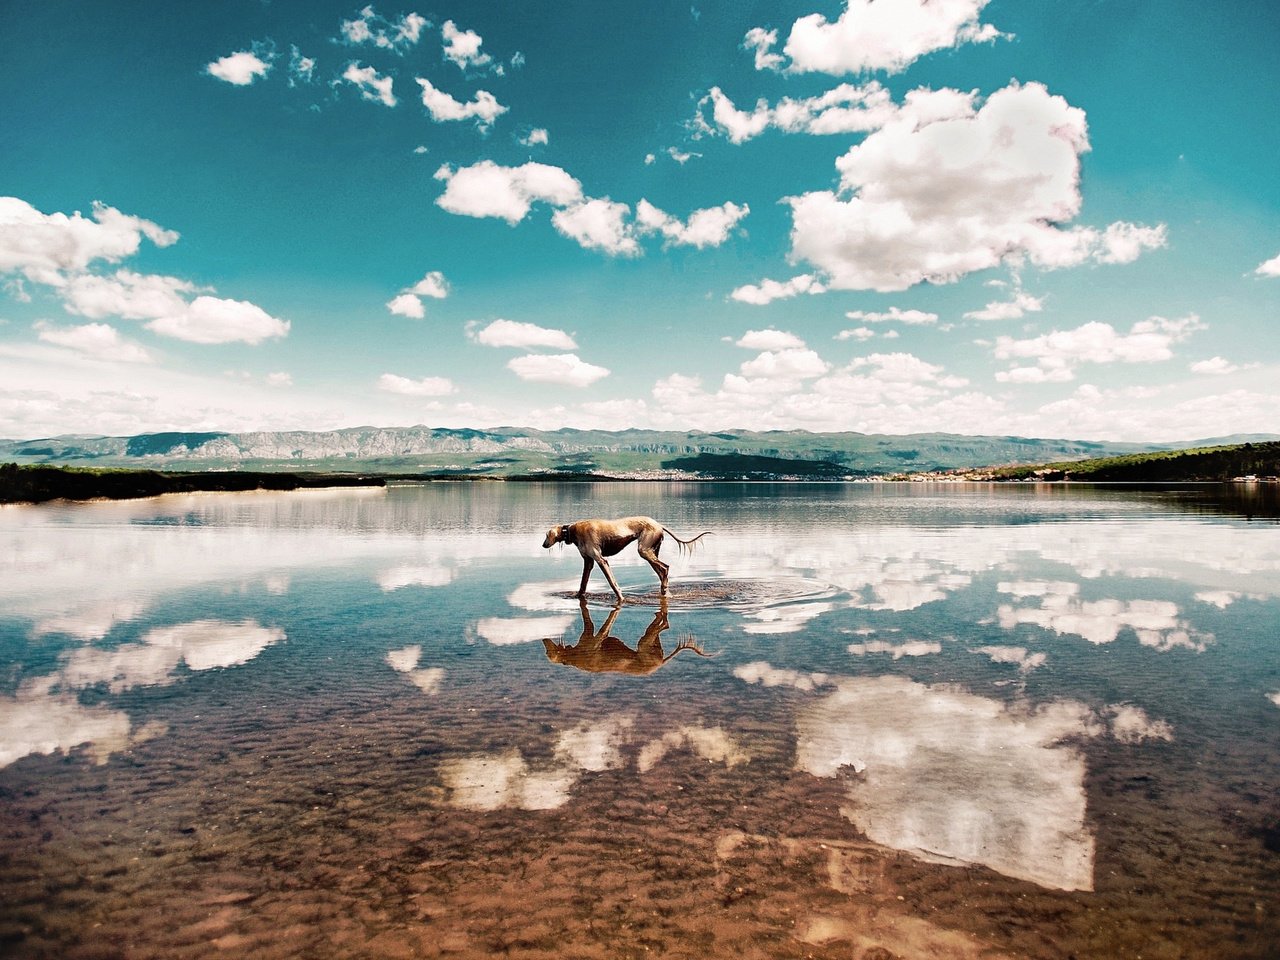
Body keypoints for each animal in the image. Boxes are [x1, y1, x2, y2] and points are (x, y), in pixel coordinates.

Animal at [540, 519, 711, 601]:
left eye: (546, 535)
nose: (543, 545)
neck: (572, 530)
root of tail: (659, 525)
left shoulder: (601, 560)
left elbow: (613, 583)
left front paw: (621, 599)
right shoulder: (588, 562)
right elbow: (583, 584)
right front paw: (577, 596)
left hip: (644, 550)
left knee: (665, 568)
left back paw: (664, 591)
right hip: (651, 551)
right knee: (662, 570)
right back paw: (664, 592)